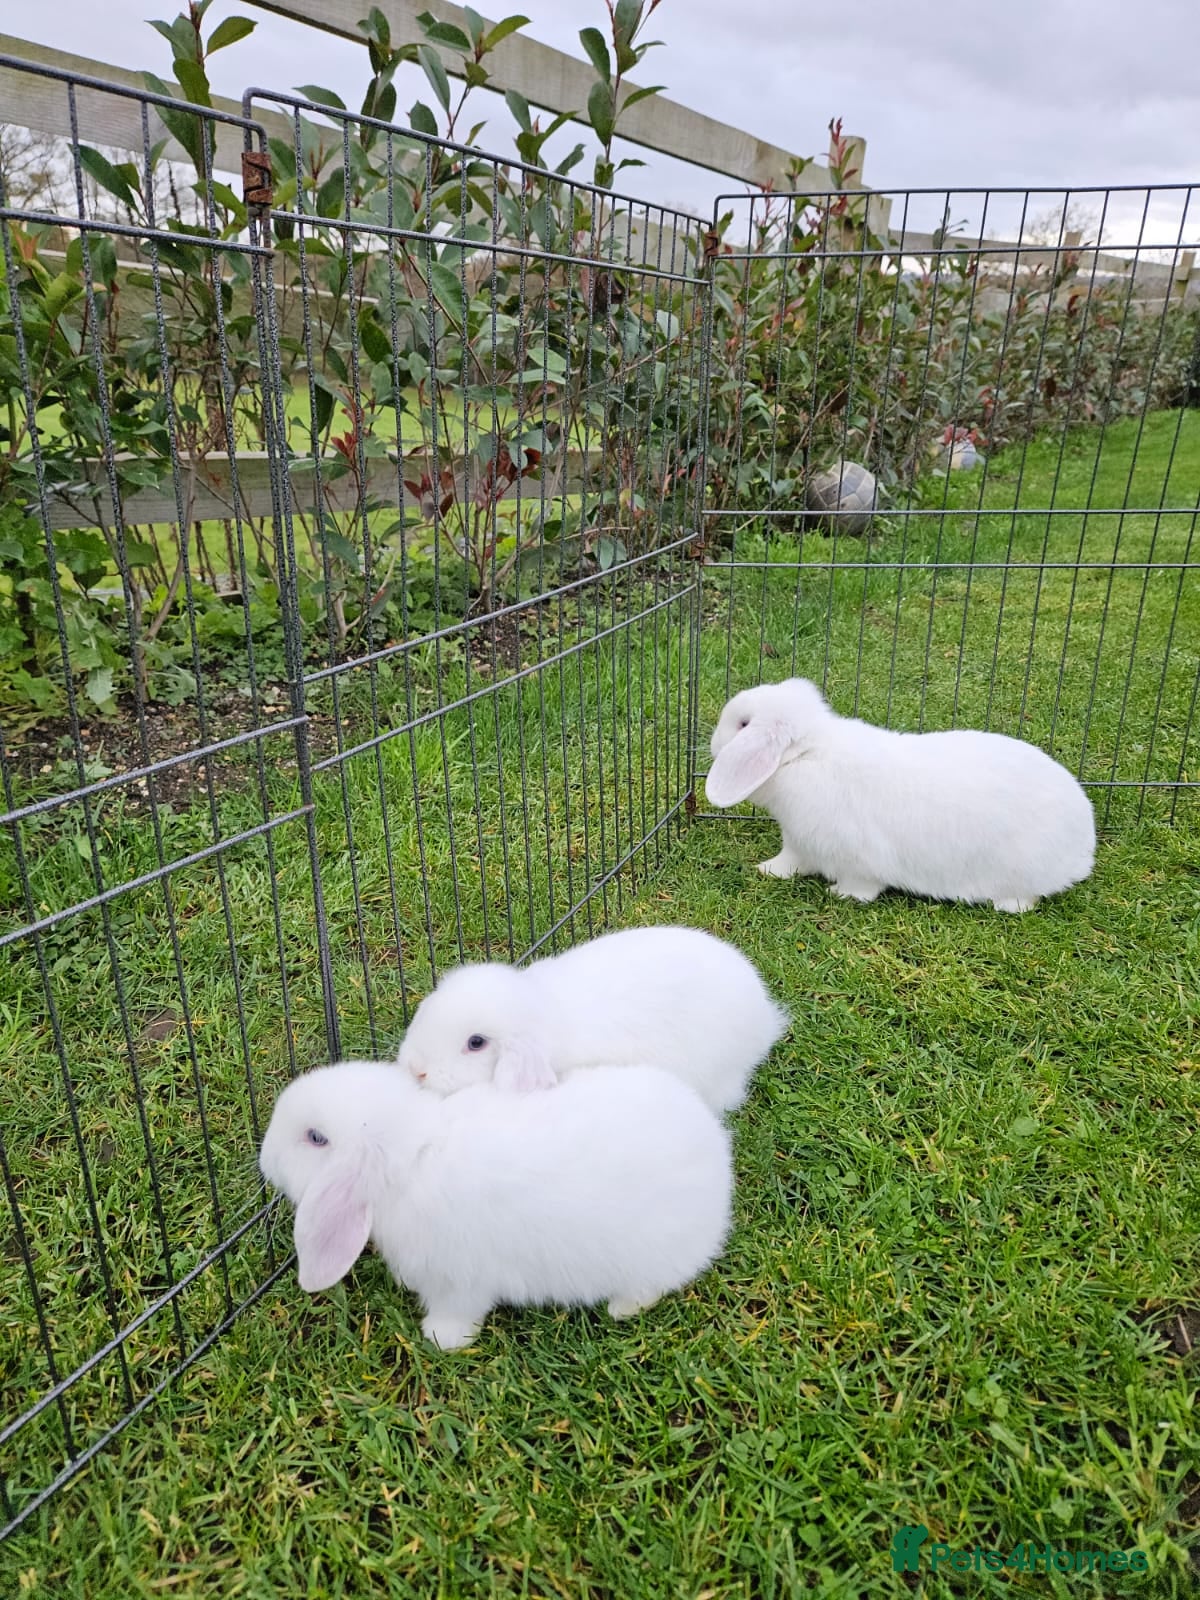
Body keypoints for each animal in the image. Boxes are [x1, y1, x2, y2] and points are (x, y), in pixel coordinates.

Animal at [258, 1058, 733, 1350]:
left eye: (315, 1138)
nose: (264, 1158)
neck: (414, 1157)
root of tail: (718, 1163)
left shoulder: (458, 1283)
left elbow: (457, 1313)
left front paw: (439, 1340)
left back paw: (621, 1308)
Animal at [705, 677, 1096, 912]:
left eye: (743, 725)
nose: (712, 743)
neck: (806, 755)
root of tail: (1084, 848)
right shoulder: (798, 842)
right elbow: (789, 861)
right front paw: (767, 870)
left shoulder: (859, 858)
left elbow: (862, 884)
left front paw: (841, 895)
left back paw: (1006, 904)